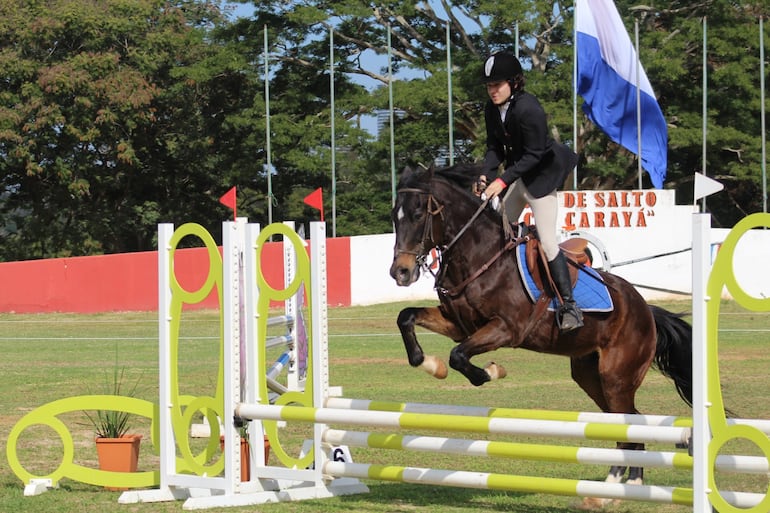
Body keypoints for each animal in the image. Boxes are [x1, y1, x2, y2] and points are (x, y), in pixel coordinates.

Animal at [388, 163, 692, 500]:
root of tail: (645, 309)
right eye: (394, 216)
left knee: (630, 421)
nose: (400, 273)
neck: (479, 257)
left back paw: (622, 484)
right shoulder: (458, 324)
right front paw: (430, 364)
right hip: (590, 376)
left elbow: (458, 356)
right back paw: (621, 483)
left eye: (418, 214)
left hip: (617, 377)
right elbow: (406, 318)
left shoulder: (507, 328)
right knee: (628, 422)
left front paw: (489, 372)